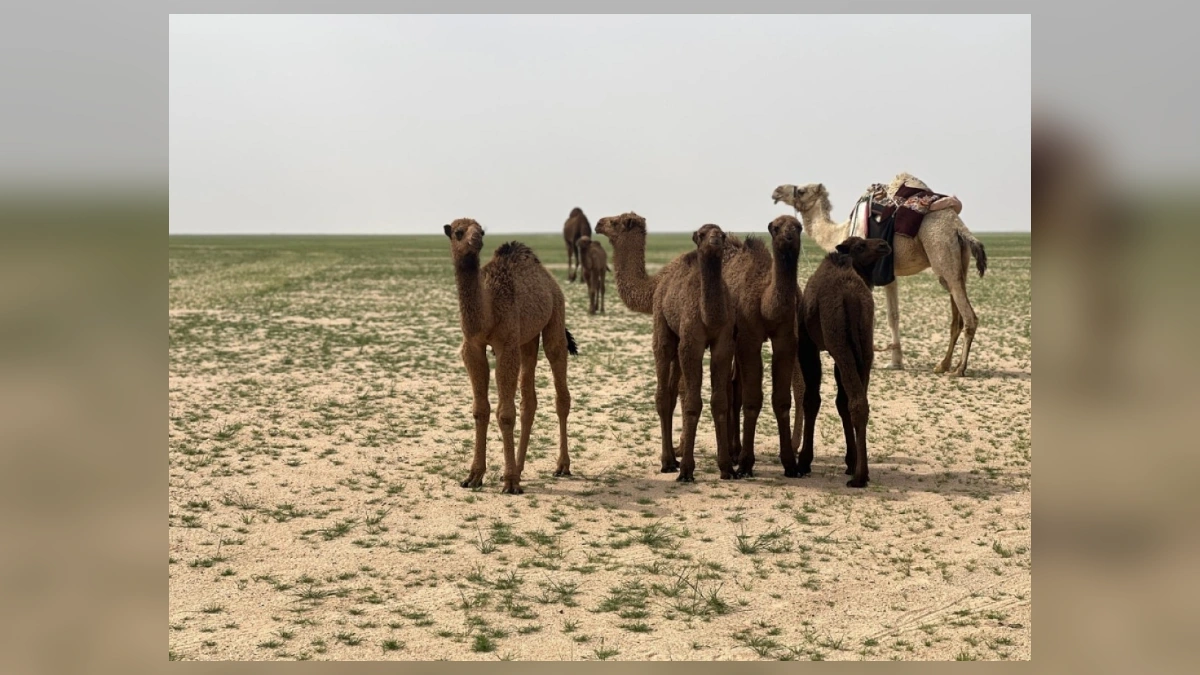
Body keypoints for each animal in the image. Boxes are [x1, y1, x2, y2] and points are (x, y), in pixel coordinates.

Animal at [444, 218, 577, 494]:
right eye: (459, 232)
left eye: (481, 231)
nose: (476, 240)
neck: (488, 310)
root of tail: (549, 279)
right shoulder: (472, 347)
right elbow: (480, 409)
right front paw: (473, 476)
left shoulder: (506, 345)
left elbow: (505, 413)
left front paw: (510, 482)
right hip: (527, 339)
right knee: (529, 400)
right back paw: (520, 466)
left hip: (555, 317)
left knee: (560, 389)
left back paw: (561, 466)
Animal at [595, 214, 736, 481]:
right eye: (702, 234)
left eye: (616, 222)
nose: (598, 223)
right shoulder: (691, 342)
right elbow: (694, 400)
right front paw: (694, 466)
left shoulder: (714, 343)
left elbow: (705, 401)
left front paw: (707, 467)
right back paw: (673, 459)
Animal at [722, 215, 804, 478]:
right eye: (776, 227)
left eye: (798, 227)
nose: (789, 236)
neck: (764, 300)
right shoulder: (749, 338)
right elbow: (752, 400)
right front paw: (746, 464)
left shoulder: (786, 338)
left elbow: (782, 400)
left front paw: (790, 463)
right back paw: (732, 453)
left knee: (733, 385)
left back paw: (734, 451)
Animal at [773, 177, 988, 377]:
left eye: (801, 191)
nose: (776, 191)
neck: (842, 233)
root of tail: (958, 226)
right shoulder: (889, 274)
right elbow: (893, 316)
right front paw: (895, 362)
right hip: (958, 262)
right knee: (956, 315)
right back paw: (943, 365)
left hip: (940, 248)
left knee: (969, 317)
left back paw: (959, 368)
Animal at [796, 236, 891, 488]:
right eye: (860, 246)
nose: (884, 245)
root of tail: (851, 296)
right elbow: (840, 402)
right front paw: (850, 460)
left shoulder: (808, 344)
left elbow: (812, 399)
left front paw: (804, 461)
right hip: (864, 345)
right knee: (860, 401)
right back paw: (861, 471)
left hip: (839, 342)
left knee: (856, 401)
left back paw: (859, 477)